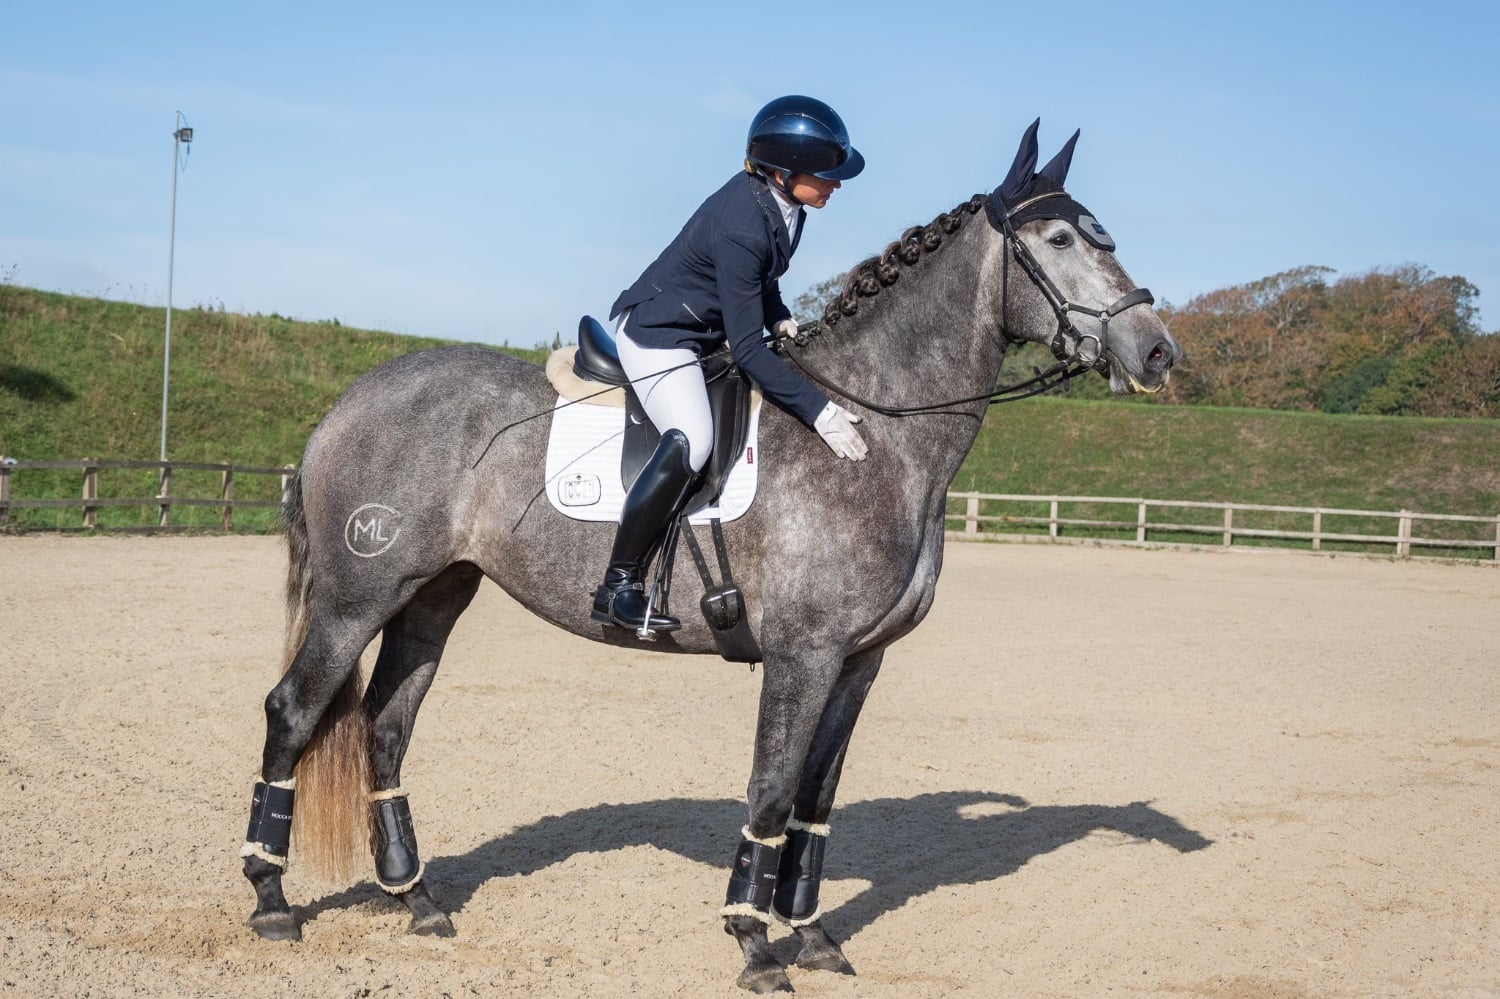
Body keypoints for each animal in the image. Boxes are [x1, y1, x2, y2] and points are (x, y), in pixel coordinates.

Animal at [239, 119, 1181, 994]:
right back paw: (271, 899)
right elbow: (771, 789)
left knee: (386, 726)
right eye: (1060, 241)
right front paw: (754, 944)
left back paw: (417, 900)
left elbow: (815, 798)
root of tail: (347, 404)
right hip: (358, 597)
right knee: (294, 710)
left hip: (436, 592)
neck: (880, 429)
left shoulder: (859, 660)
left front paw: (812, 935)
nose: (1157, 352)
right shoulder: (804, 655)